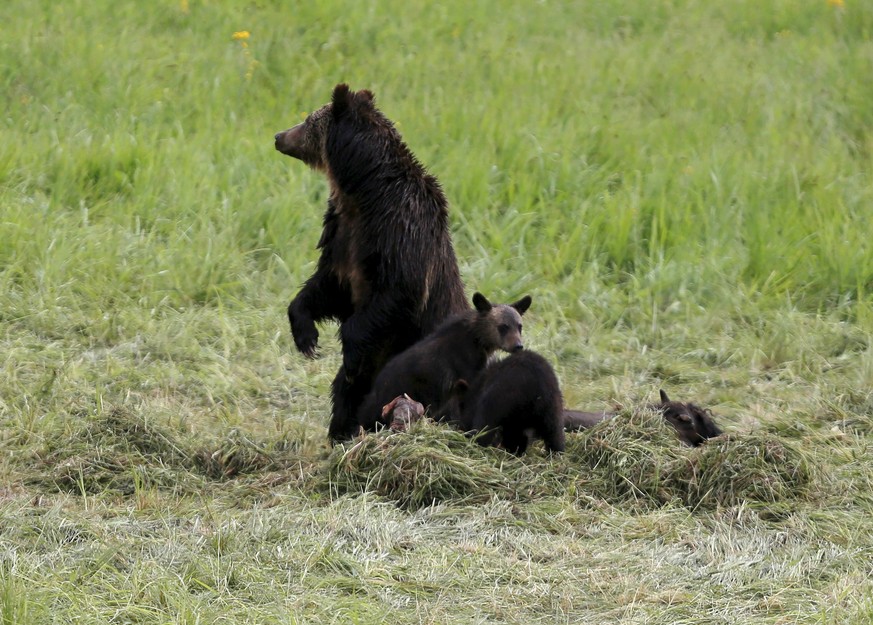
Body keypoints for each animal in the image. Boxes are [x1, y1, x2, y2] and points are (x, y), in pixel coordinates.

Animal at [274, 85, 466, 442]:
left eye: (308, 120)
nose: (279, 136)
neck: (362, 193)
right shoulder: (342, 236)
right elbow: (326, 287)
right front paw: (306, 337)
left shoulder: (398, 233)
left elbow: (397, 292)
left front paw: (348, 353)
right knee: (346, 396)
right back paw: (342, 432)